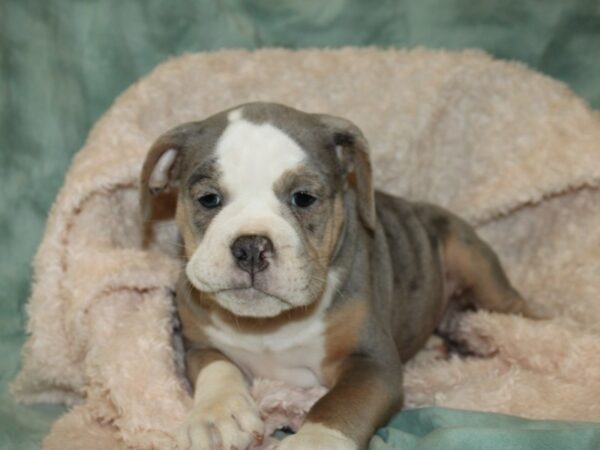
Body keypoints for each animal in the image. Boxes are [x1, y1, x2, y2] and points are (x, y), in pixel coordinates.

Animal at [142, 103, 540, 450]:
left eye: (303, 198)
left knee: (513, 307)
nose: (251, 247)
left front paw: (314, 442)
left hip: (470, 259)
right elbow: (219, 368)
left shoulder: (372, 362)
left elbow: (337, 404)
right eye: (208, 199)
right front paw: (217, 415)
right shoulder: (196, 345)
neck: (270, 326)